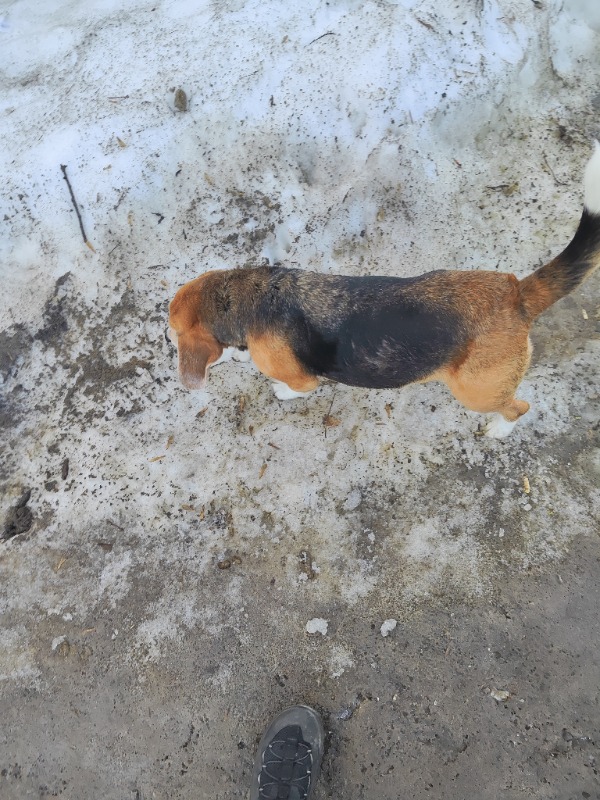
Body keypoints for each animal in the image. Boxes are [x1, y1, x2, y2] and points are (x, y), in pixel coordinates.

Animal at [169, 145, 600, 437]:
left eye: (174, 333)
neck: (250, 297)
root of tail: (516, 293)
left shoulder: (303, 378)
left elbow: (296, 389)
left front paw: (280, 391)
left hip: (475, 390)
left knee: (518, 406)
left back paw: (499, 429)